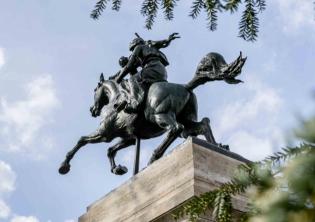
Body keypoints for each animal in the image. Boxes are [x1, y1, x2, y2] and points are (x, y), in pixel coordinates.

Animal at [59, 51, 247, 175]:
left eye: (94, 91)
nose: (93, 110)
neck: (115, 97)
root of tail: (186, 87)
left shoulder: (104, 133)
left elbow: (81, 141)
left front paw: (64, 165)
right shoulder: (129, 138)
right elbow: (111, 150)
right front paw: (118, 169)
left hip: (160, 116)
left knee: (176, 129)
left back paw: (153, 158)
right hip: (187, 120)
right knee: (203, 124)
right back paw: (217, 146)